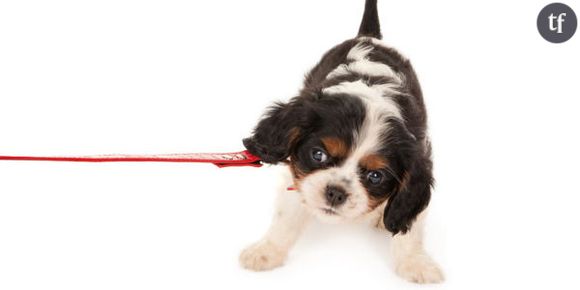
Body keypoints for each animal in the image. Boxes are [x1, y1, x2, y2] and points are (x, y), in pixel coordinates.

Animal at [240, 0, 444, 284]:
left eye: (376, 176)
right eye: (318, 155)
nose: (335, 192)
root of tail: (368, 36)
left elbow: (410, 229)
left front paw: (415, 263)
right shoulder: (297, 176)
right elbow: (285, 217)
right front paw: (266, 251)